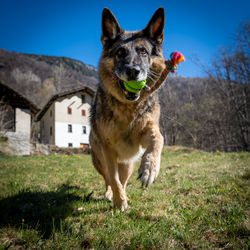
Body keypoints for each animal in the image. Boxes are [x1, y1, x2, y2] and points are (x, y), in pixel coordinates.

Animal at [90, 7, 166, 210]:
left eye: (143, 52)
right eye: (120, 52)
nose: (133, 71)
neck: (128, 109)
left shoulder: (146, 133)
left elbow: (158, 138)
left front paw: (149, 168)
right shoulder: (108, 150)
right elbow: (113, 179)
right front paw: (119, 202)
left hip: (128, 164)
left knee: (123, 180)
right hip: (100, 160)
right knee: (109, 179)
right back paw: (111, 195)